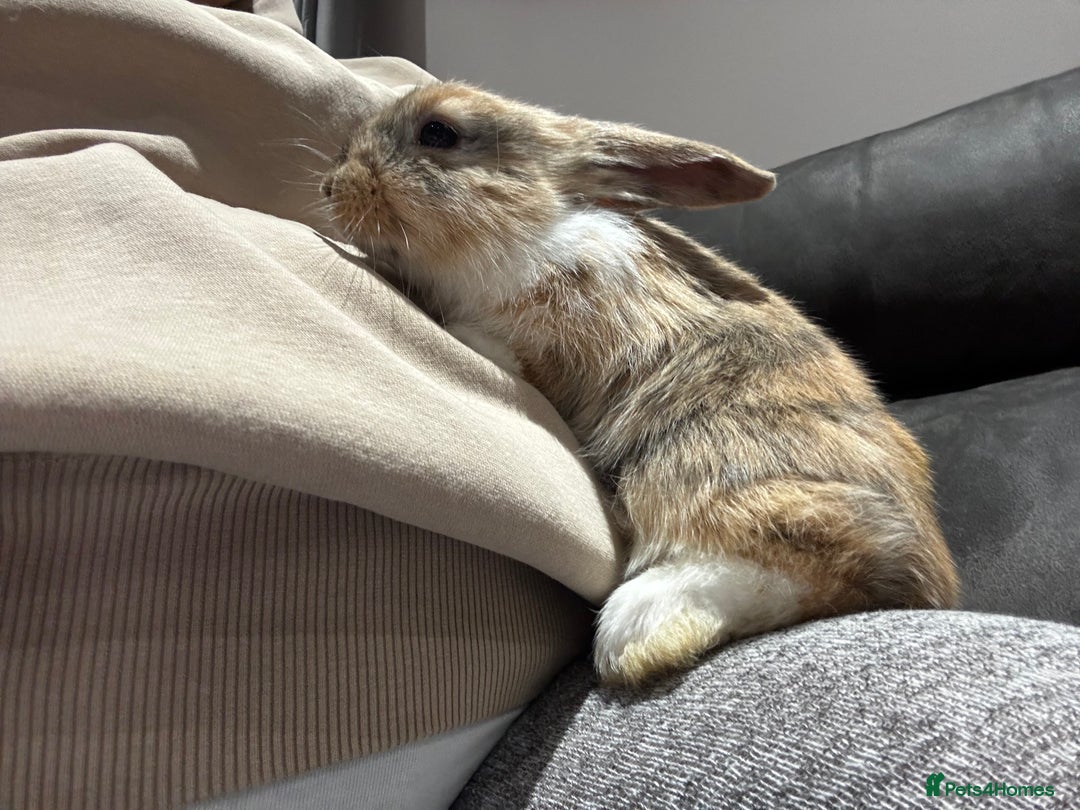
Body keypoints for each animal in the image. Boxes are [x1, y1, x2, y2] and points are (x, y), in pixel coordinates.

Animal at [321, 81, 960, 688]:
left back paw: (636, 632)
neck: (536, 224)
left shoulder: (560, 336)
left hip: (695, 462)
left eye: (439, 133)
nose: (330, 187)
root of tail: (932, 581)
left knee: (822, 558)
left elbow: (508, 350)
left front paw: (454, 330)